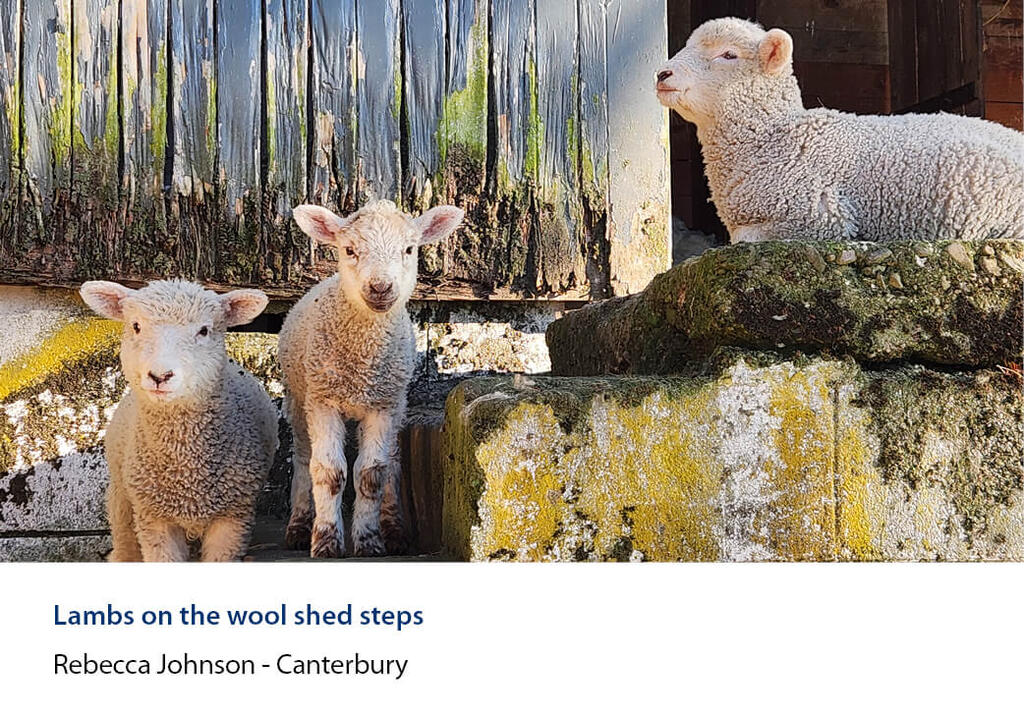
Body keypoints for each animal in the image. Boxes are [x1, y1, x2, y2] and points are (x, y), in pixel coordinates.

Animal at [79, 279, 278, 562]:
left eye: (204, 331)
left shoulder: (232, 518)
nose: (160, 376)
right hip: (122, 498)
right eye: (136, 326)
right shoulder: (154, 518)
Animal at [282, 199, 464, 558]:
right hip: (299, 398)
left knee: (392, 460)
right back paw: (298, 524)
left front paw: (369, 540)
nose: (380, 287)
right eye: (349, 249)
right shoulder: (322, 400)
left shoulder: (383, 404)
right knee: (303, 457)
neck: (362, 360)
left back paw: (393, 529)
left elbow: (372, 474)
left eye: (409, 249)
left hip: (396, 402)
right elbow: (329, 472)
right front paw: (326, 540)